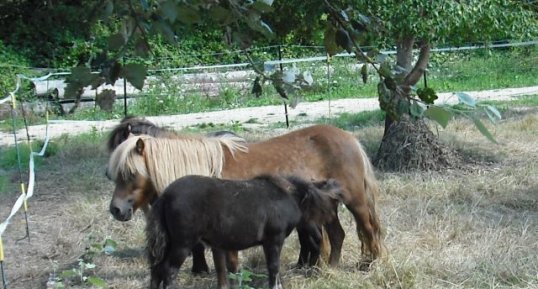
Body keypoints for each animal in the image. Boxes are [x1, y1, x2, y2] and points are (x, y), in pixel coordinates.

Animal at [104, 123, 382, 268]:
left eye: (130, 173)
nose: (116, 210)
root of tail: (349, 137)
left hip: (355, 201)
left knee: (368, 229)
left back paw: (371, 263)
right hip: (327, 206)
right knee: (337, 235)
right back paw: (330, 269)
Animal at [147, 174, 340, 286]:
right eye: (317, 213)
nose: (319, 239)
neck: (285, 197)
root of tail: (165, 196)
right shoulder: (273, 241)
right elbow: (273, 267)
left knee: (156, 270)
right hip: (182, 245)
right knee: (168, 271)